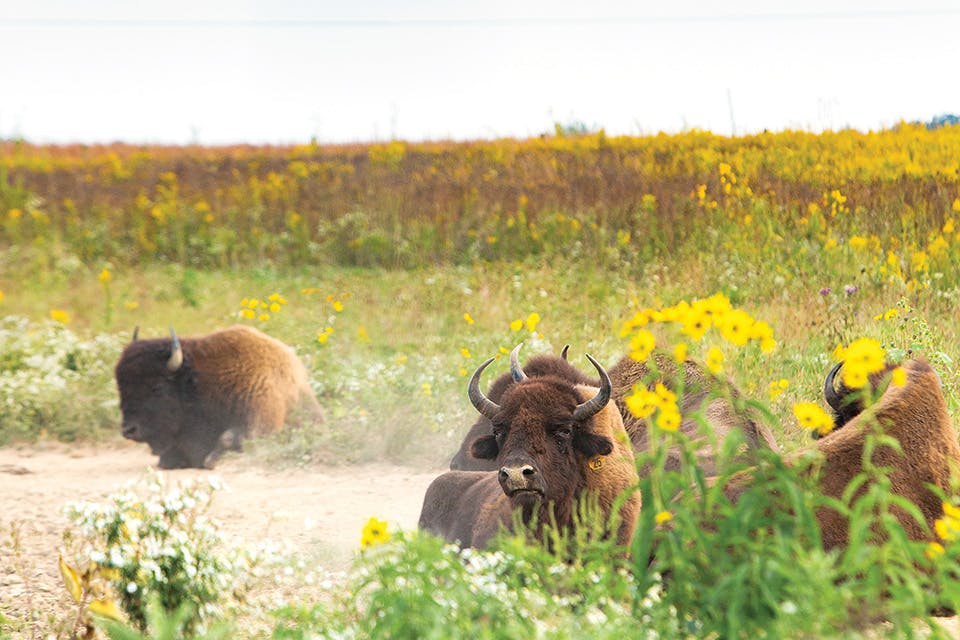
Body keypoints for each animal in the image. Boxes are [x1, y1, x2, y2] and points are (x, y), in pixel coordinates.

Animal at [114, 324, 324, 470]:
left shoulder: (260, 421)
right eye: (121, 387)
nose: (128, 430)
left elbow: (228, 438)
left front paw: (210, 461)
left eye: (157, 387)